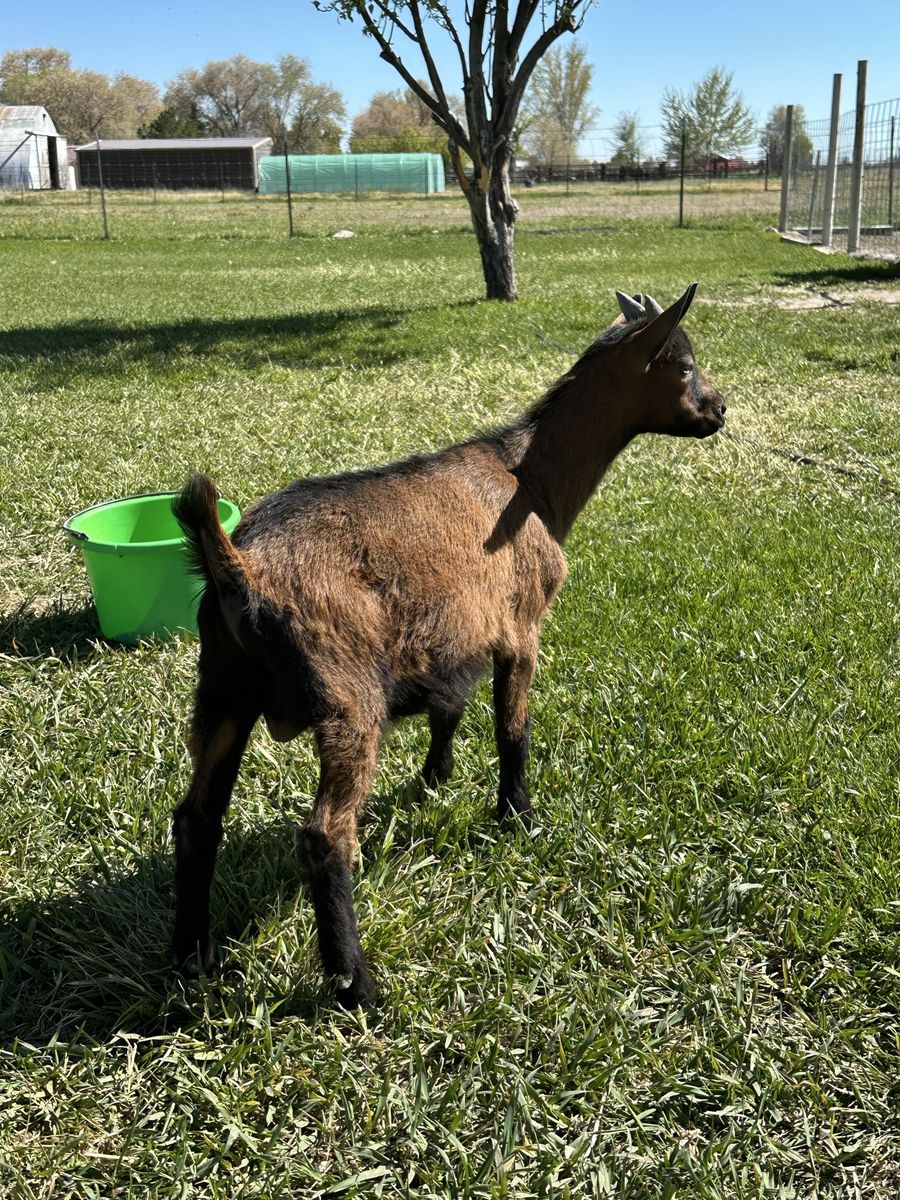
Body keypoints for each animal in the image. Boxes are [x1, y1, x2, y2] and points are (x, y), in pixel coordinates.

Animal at [170, 283, 726, 1007]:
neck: (530, 478)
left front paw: (436, 779)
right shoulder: (521, 624)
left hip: (222, 691)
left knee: (196, 817)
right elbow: (512, 727)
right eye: (682, 367)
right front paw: (518, 816)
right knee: (325, 836)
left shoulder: (454, 634)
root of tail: (240, 567)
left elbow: (450, 707)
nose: (720, 409)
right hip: (347, 697)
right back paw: (356, 986)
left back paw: (193, 955)